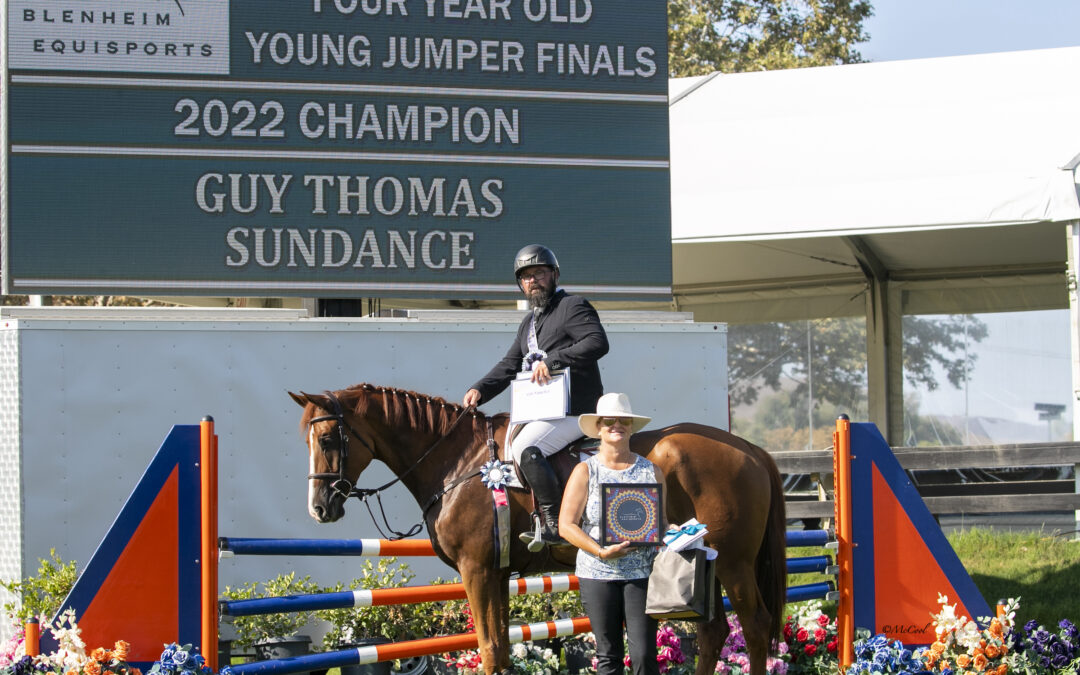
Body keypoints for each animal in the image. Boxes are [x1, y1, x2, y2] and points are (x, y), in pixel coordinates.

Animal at [291, 384, 786, 673]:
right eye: (306, 439)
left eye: (328, 438)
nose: (318, 508)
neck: (460, 462)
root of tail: (750, 449)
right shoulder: (494, 574)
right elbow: (500, 648)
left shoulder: (477, 571)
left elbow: (490, 649)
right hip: (705, 560)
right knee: (713, 632)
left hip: (734, 563)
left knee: (755, 626)